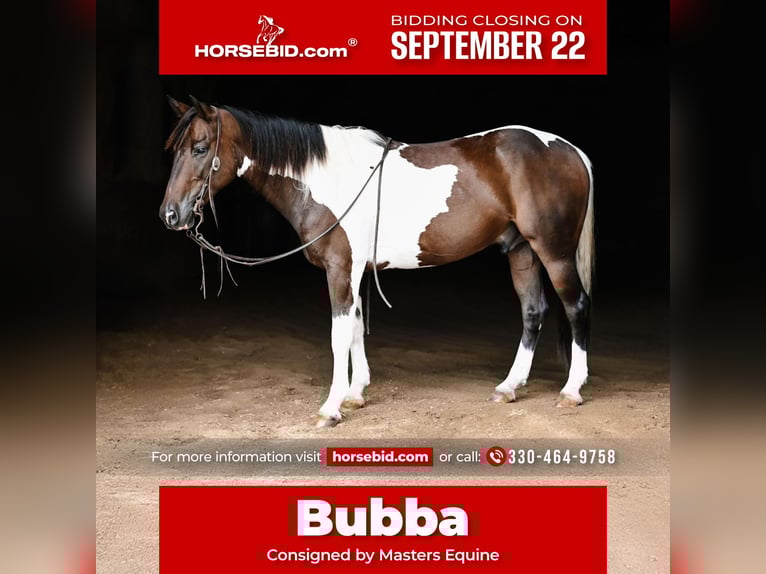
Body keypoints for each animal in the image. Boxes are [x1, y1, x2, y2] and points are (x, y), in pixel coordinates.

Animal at [159, 96, 595, 428]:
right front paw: (355, 394)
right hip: (522, 251)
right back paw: (509, 386)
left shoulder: (340, 269)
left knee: (576, 306)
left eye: (200, 149)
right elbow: (355, 327)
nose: (170, 215)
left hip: (553, 251)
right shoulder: (353, 272)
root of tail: (570, 150)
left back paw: (571, 391)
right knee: (533, 311)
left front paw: (331, 408)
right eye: (175, 150)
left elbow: (338, 335)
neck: (325, 178)